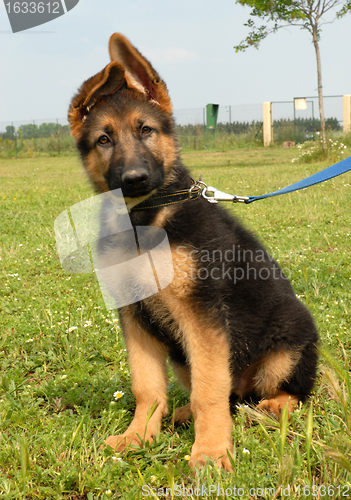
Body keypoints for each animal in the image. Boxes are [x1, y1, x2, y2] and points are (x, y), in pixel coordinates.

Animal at [68, 33, 320, 470]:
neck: (145, 219)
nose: (135, 179)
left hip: (285, 347)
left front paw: (212, 449)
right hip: (184, 354)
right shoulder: (134, 315)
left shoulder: (201, 312)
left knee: (285, 394)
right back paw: (187, 413)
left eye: (146, 130)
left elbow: (210, 389)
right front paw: (138, 436)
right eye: (104, 139)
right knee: (232, 395)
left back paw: (271, 407)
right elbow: (147, 387)